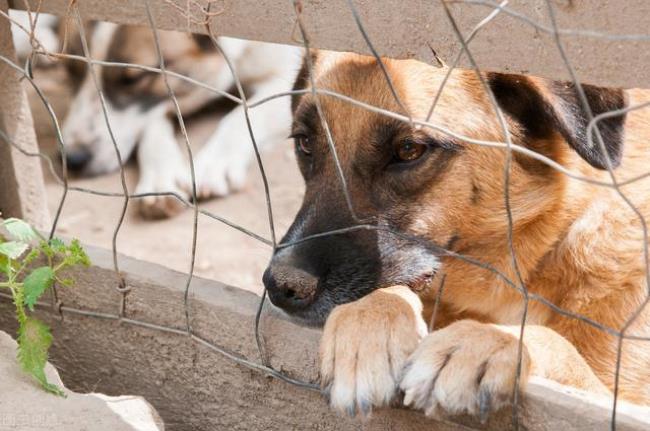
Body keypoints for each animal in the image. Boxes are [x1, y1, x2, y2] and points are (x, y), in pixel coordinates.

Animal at [60, 23, 298, 218]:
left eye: (132, 79)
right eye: (71, 69)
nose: (72, 159)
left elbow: (244, 115)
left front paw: (213, 163)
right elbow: (152, 124)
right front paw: (161, 176)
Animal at [260, 49, 648, 418]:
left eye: (409, 150)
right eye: (304, 143)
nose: (281, 286)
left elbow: (556, 344)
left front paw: (479, 342)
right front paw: (366, 326)